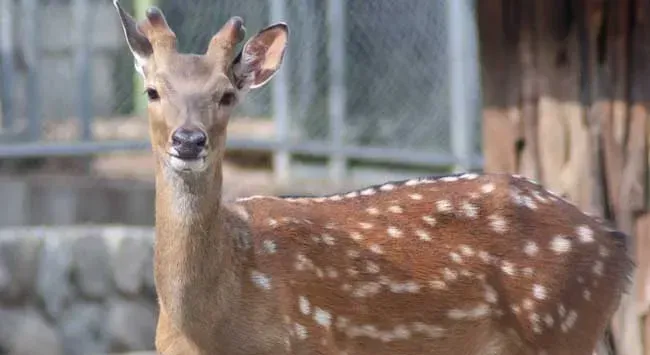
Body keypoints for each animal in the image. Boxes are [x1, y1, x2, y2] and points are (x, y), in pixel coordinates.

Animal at [112, 1, 632, 354]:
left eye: (225, 95)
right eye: (152, 90)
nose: (188, 140)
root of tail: (616, 245)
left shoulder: (313, 341)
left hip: (562, 326)